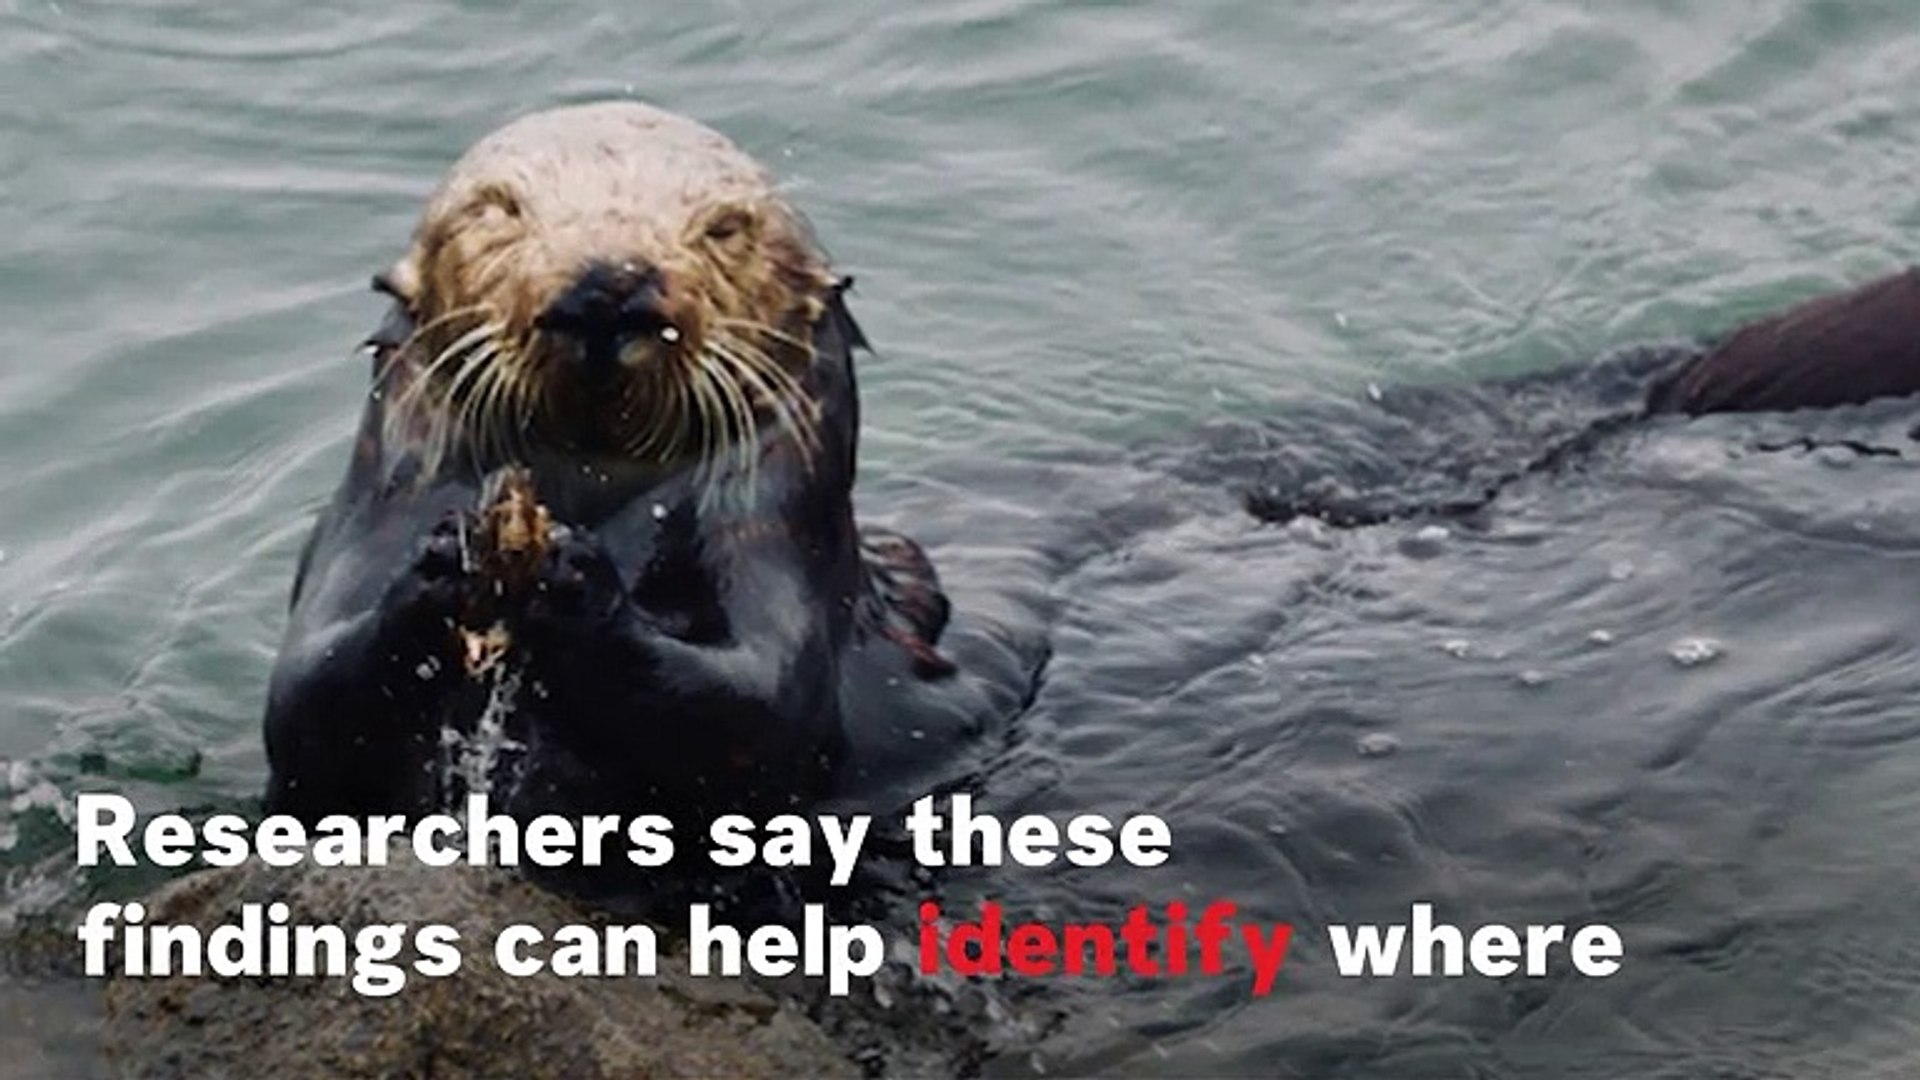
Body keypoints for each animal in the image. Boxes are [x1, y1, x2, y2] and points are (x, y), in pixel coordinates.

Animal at [264, 102, 996, 826]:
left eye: (725, 227)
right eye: (497, 208)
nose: (604, 285)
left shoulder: (779, 544)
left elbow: (763, 714)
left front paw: (575, 577)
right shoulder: (372, 522)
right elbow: (305, 705)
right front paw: (448, 555)